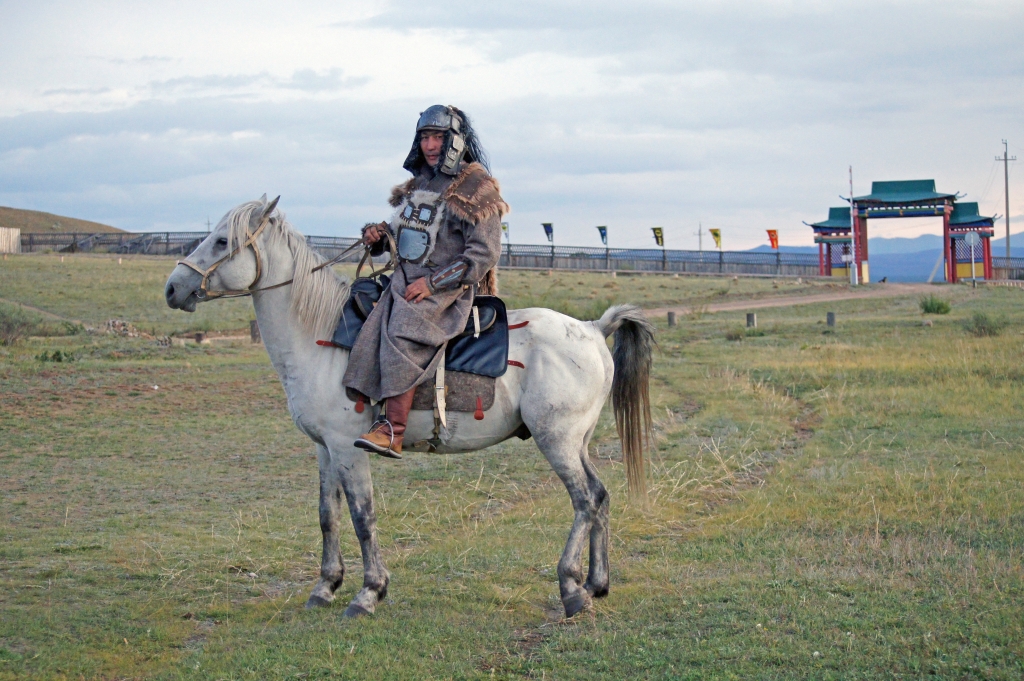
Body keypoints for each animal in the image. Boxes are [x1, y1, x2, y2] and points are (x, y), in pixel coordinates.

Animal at [162, 195, 651, 614]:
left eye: (221, 241)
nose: (172, 288)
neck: (321, 335)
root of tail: (593, 327)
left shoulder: (347, 448)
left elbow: (362, 517)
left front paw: (368, 592)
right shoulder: (324, 448)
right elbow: (327, 515)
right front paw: (325, 586)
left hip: (557, 440)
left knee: (585, 500)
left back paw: (571, 586)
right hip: (577, 441)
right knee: (601, 496)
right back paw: (597, 583)